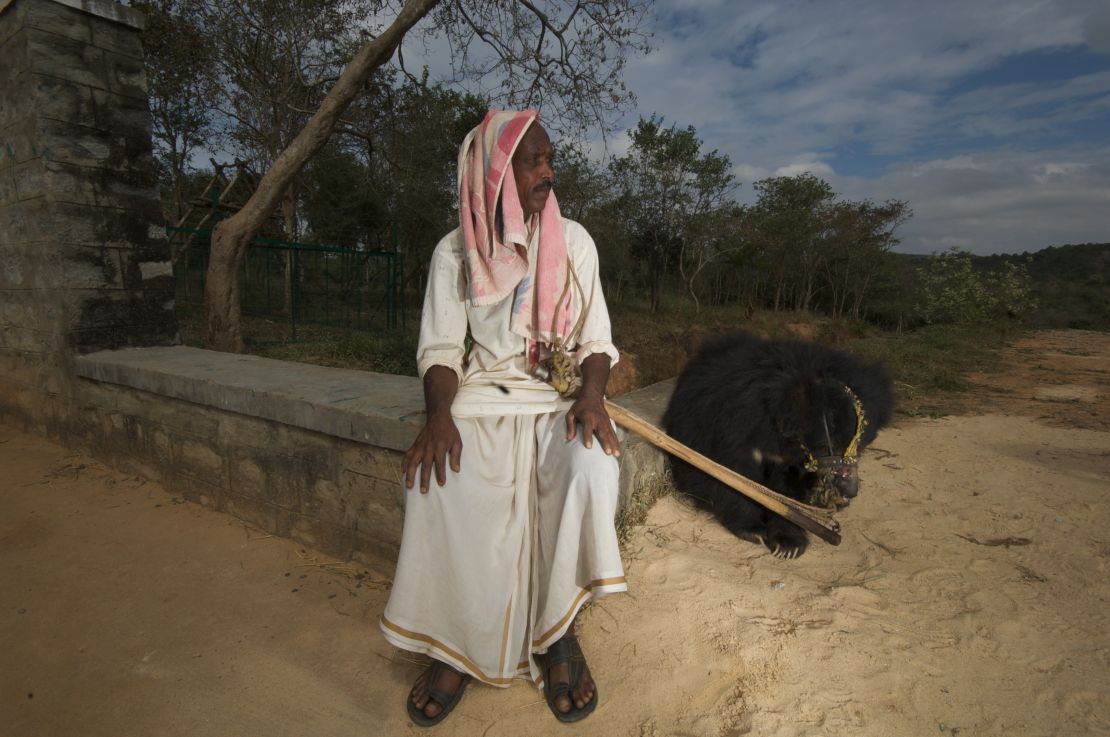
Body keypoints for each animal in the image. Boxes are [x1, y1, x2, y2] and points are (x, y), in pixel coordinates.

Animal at [662, 331, 893, 558]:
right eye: (828, 446)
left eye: (859, 447)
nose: (850, 492)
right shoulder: (734, 430)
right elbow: (735, 478)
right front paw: (753, 531)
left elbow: (786, 493)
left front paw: (788, 544)